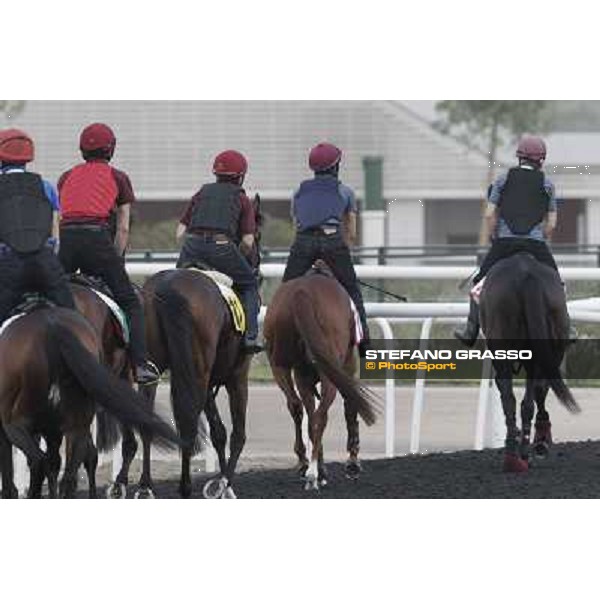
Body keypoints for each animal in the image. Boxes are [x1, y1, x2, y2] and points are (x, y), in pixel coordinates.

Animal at [0, 308, 180, 500]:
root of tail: (52, 328)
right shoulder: (53, 431)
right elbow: (58, 463)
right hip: (76, 426)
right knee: (68, 475)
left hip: (17, 424)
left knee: (40, 462)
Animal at [264, 272, 378, 492]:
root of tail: (302, 294)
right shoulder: (347, 367)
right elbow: (350, 406)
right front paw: (352, 463)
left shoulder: (303, 375)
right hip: (329, 372)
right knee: (321, 415)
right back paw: (313, 474)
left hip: (280, 365)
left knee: (299, 408)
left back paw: (306, 465)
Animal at [478, 253, 580, 474]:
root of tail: (526, 275)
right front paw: (541, 440)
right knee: (530, 397)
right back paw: (524, 452)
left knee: (512, 397)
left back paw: (514, 455)